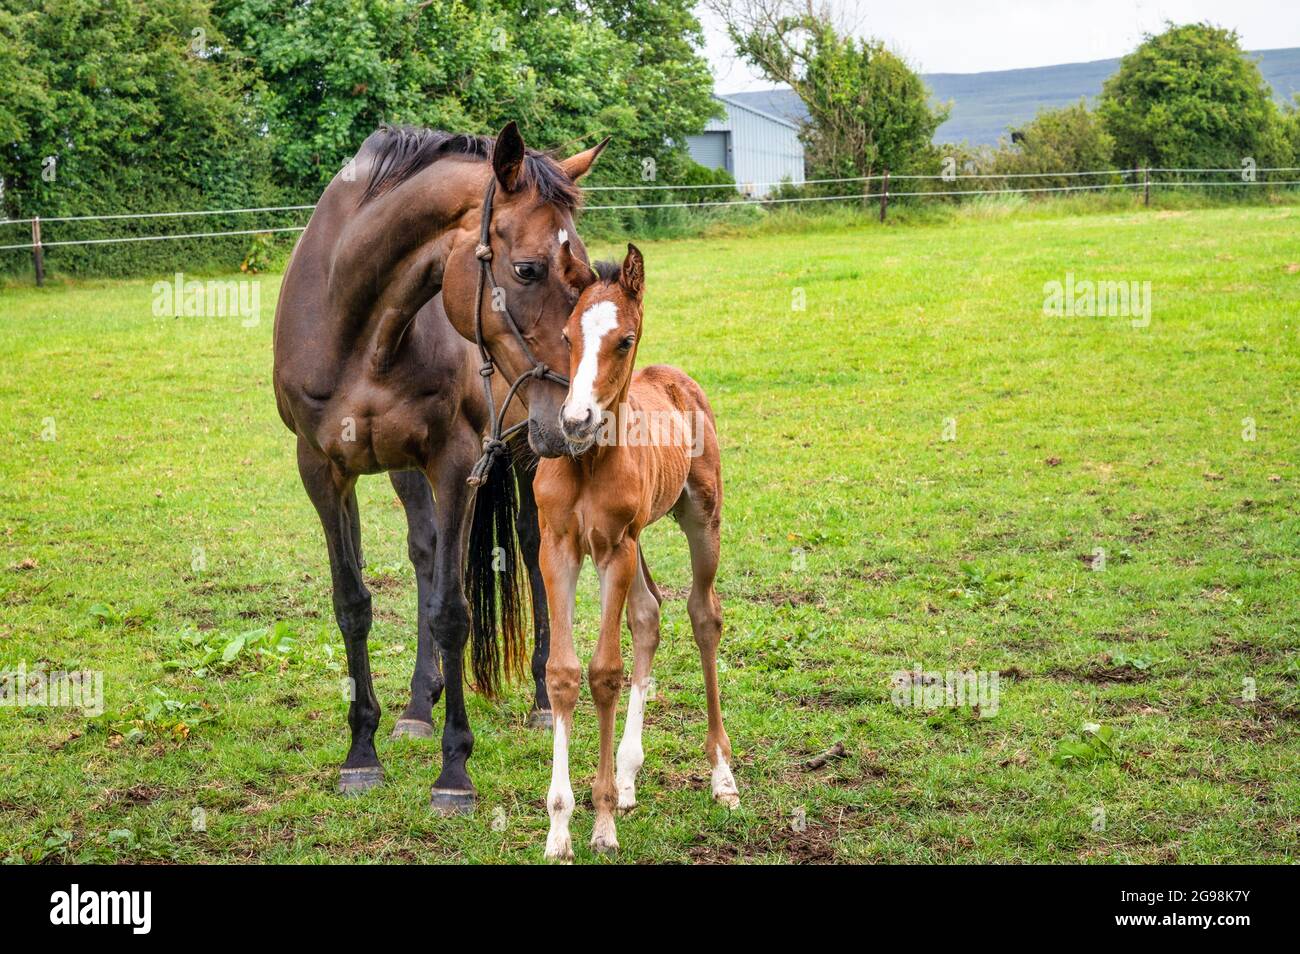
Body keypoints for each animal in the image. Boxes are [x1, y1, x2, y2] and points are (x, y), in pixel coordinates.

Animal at [272, 122, 608, 812]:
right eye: (527, 269)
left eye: (588, 273)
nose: (579, 416)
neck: (360, 333)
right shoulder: (322, 470)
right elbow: (354, 603)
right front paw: (362, 752)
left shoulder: (456, 463)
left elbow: (453, 613)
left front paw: (454, 771)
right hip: (410, 468)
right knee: (426, 552)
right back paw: (415, 708)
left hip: (525, 452)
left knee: (528, 548)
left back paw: (540, 699)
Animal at [532, 244, 739, 859]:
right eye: (567, 335)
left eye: (623, 340)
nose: (574, 421)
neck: (587, 462)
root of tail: (675, 378)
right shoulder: (558, 548)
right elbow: (563, 673)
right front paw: (559, 830)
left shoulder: (614, 549)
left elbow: (604, 672)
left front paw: (601, 826)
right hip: (641, 538)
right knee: (648, 616)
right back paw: (626, 775)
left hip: (701, 519)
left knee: (703, 615)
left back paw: (722, 776)